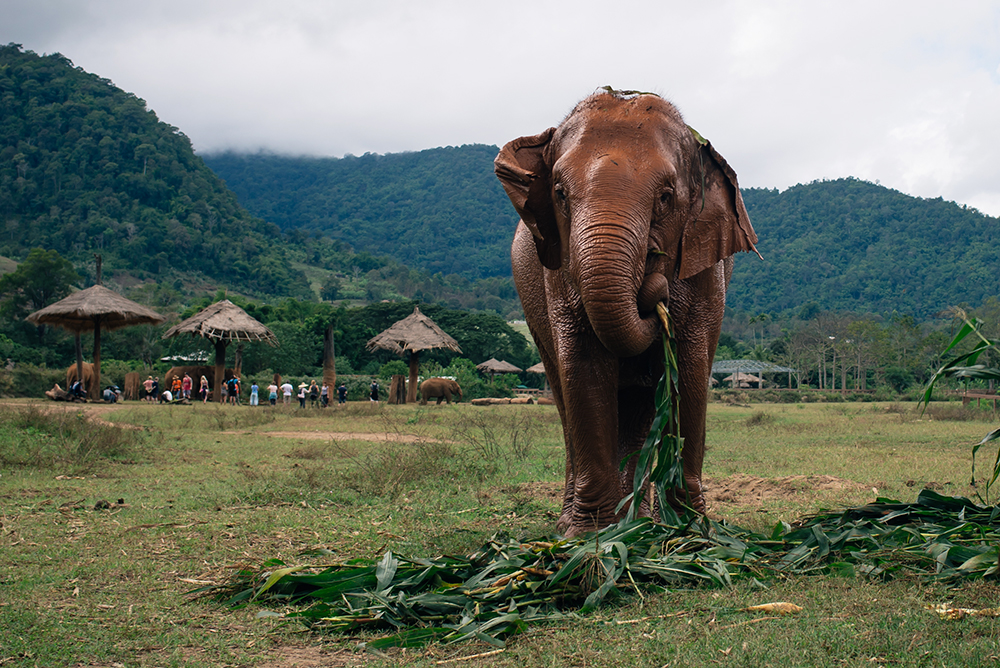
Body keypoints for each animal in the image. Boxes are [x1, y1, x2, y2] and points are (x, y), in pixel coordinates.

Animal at [496, 88, 760, 536]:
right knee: (565, 400)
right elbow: (584, 362)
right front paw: (589, 538)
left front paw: (692, 531)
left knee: (641, 409)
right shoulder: (560, 268)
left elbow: (689, 368)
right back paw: (586, 524)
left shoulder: (706, 272)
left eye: (666, 196)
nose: (654, 294)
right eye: (560, 193)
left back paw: (640, 521)